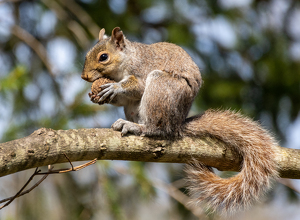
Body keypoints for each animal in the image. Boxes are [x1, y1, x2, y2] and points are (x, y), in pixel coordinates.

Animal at [81, 26, 278, 214]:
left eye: (103, 57)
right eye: (86, 55)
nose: (84, 77)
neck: (127, 59)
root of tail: (177, 125)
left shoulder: (142, 69)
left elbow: (137, 86)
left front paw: (115, 87)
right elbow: (124, 98)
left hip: (160, 89)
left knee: (157, 129)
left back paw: (137, 127)